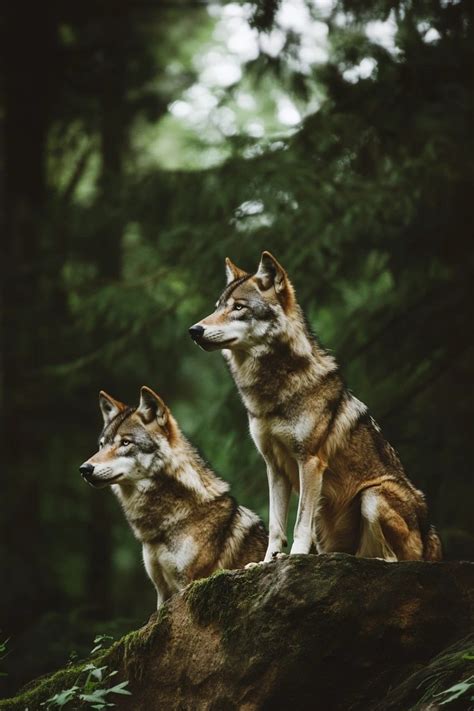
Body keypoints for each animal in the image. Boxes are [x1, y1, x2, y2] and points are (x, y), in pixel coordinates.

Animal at [189, 251, 442, 564]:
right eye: (217, 308)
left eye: (238, 307)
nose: (194, 330)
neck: (274, 390)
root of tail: (432, 540)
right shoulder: (274, 468)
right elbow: (276, 526)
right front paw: (266, 562)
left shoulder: (309, 461)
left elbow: (299, 524)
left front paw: (295, 557)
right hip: (328, 518)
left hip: (372, 495)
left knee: (394, 560)